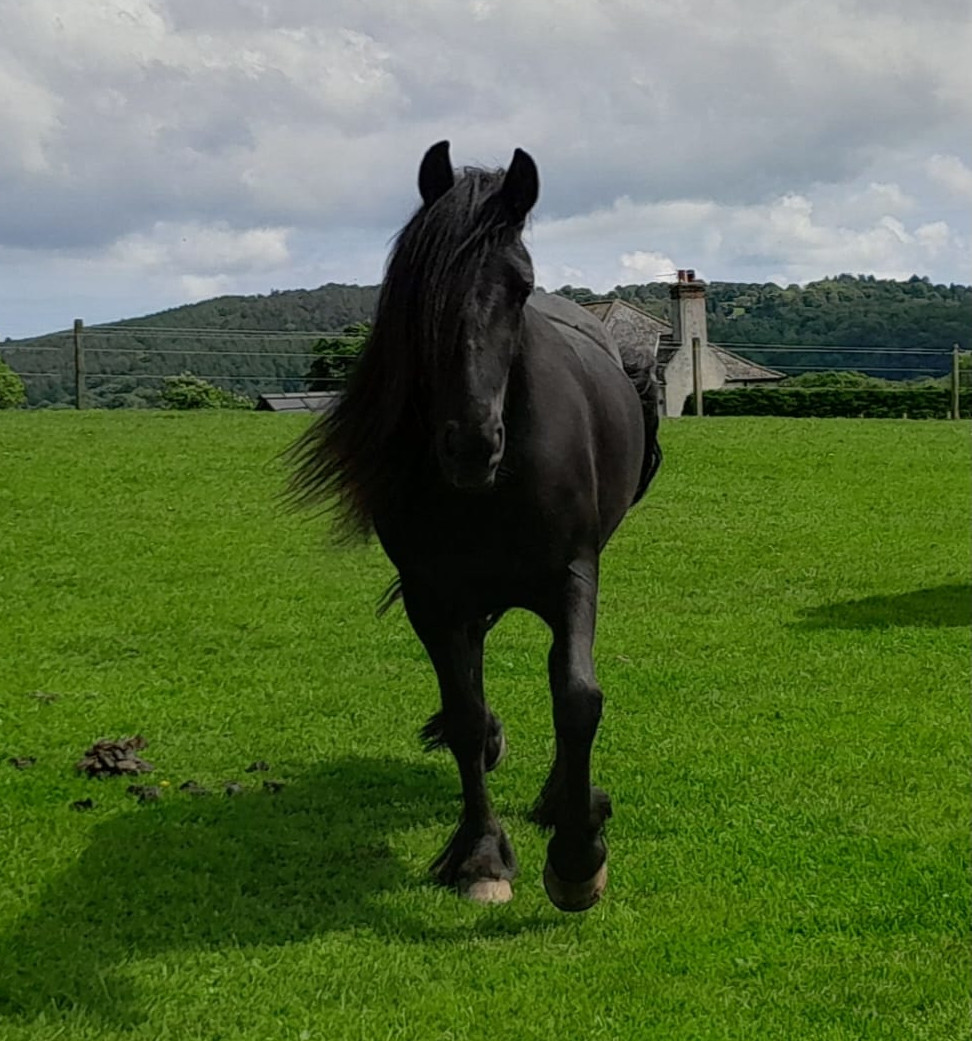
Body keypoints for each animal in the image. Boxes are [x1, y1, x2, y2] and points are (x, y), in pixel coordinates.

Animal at [291, 140, 661, 911]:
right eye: (419, 288)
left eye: (519, 286)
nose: (470, 443)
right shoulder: (432, 594)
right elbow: (461, 710)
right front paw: (483, 854)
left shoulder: (574, 574)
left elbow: (577, 695)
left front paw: (577, 851)